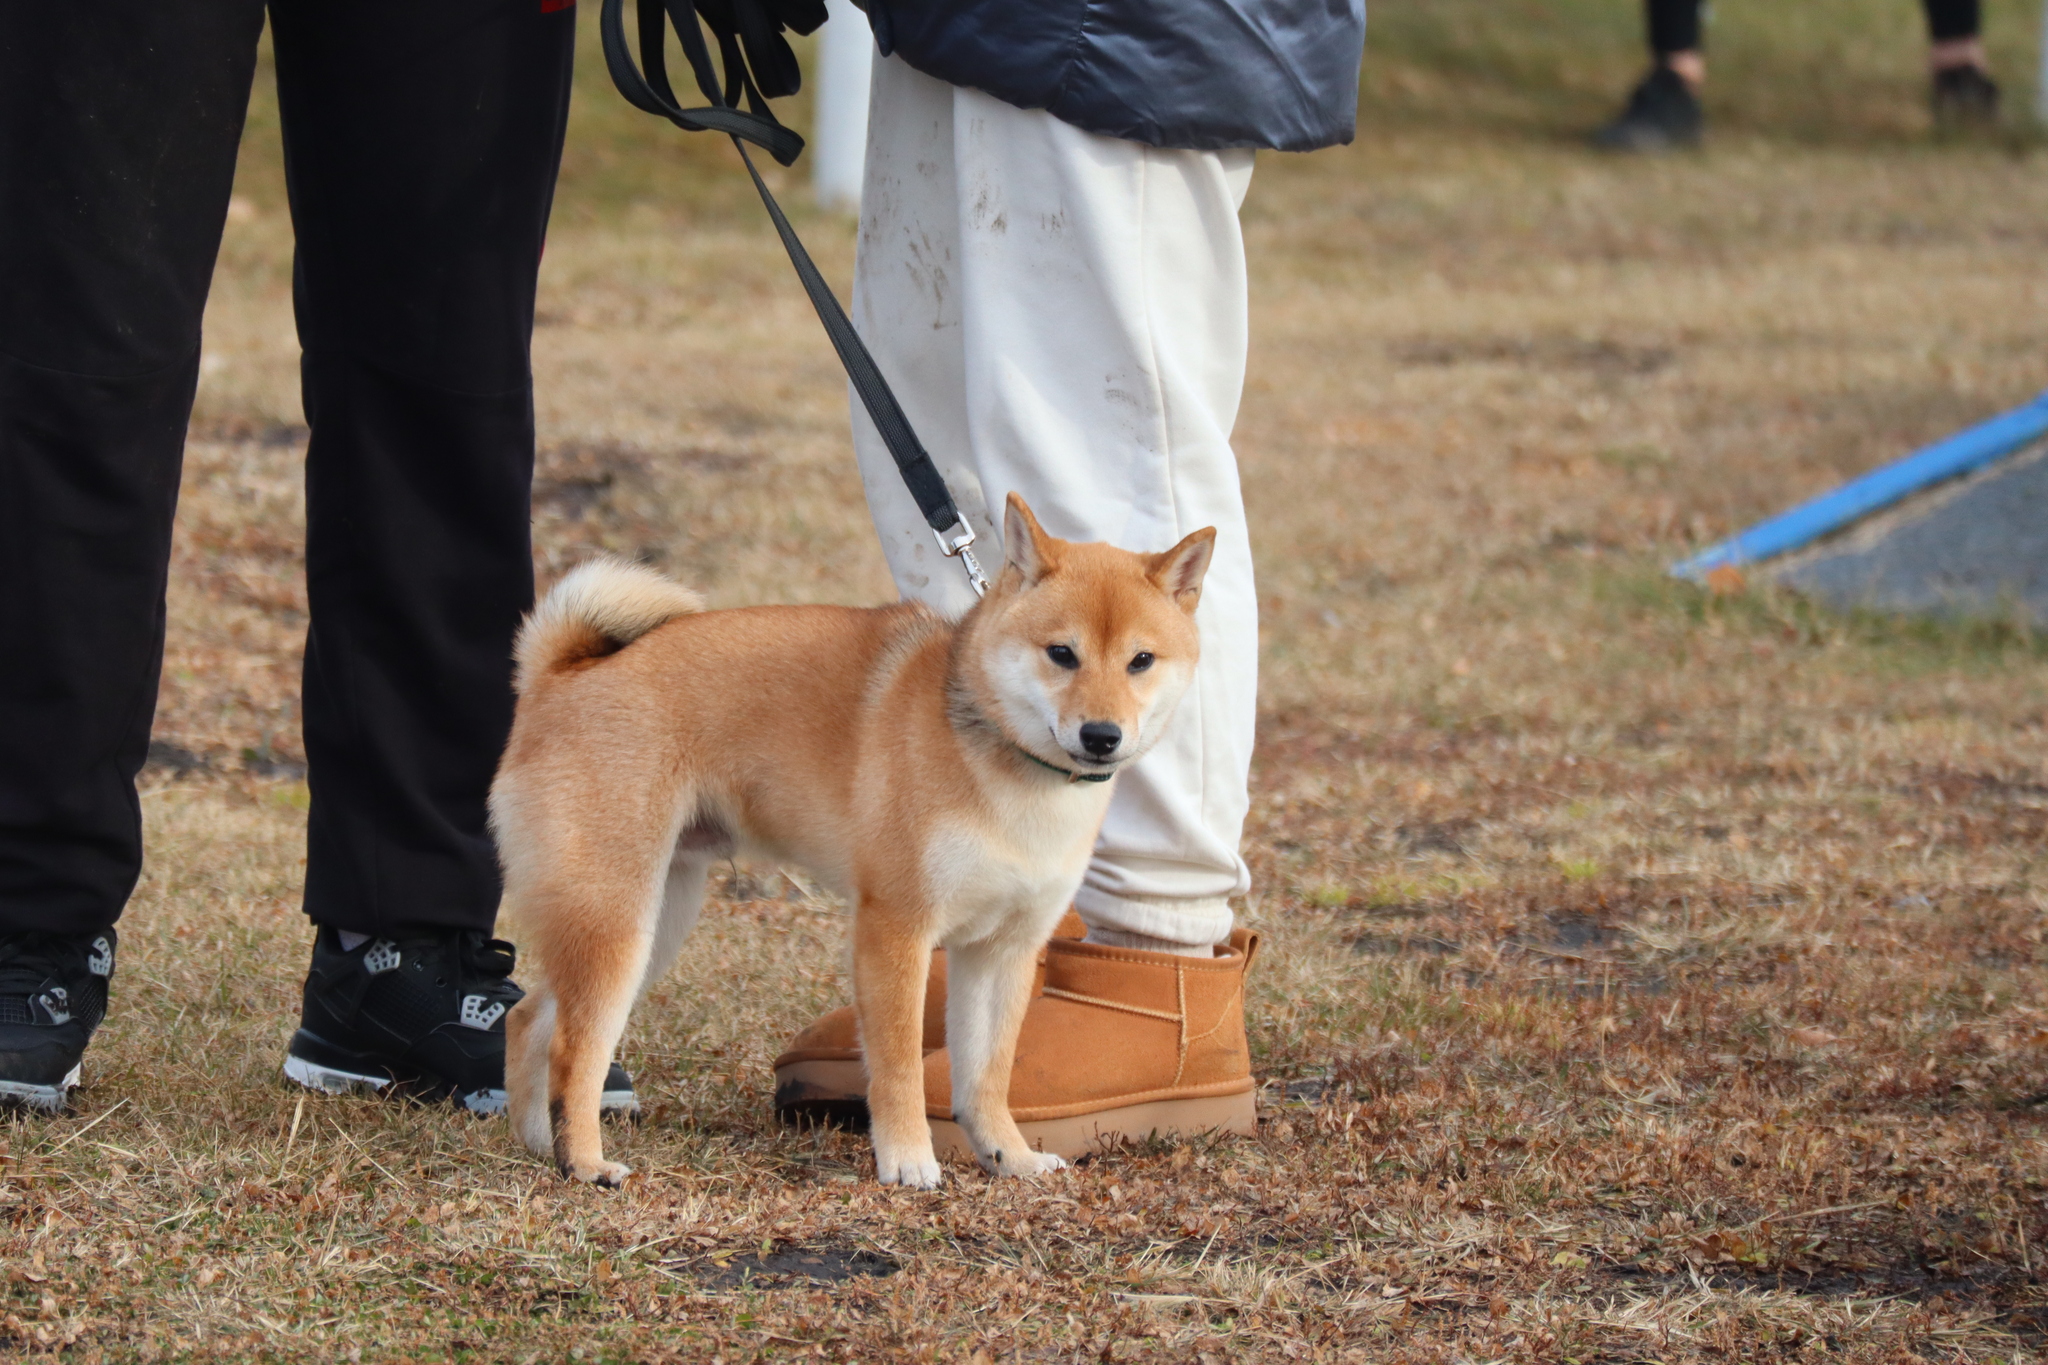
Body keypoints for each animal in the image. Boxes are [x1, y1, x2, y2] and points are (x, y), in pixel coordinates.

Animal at [487, 493, 1204, 1186]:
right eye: (1062, 653)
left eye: (1140, 660)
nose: (1102, 735)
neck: (1007, 768)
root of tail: (561, 673)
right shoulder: (895, 929)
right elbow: (898, 1067)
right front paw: (908, 1160)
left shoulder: (1003, 950)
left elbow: (986, 1076)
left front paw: (1010, 1158)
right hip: (618, 920)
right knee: (575, 1048)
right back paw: (584, 1162)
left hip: (651, 920)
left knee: (531, 1020)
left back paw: (539, 1145)